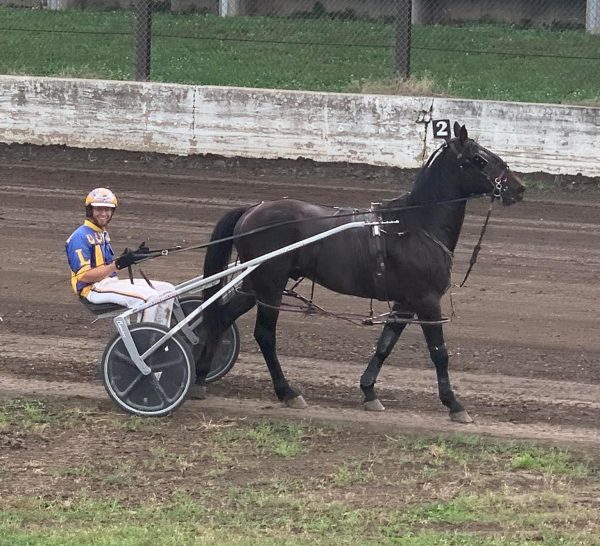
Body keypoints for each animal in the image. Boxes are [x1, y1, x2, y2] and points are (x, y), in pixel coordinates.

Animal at [195, 122, 524, 420]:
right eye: (479, 158)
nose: (519, 188)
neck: (415, 225)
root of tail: (252, 209)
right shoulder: (428, 301)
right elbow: (439, 353)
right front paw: (454, 404)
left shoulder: (405, 302)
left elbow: (385, 346)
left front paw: (369, 391)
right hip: (270, 285)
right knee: (264, 335)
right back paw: (287, 391)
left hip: (253, 285)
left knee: (221, 318)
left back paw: (199, 378)